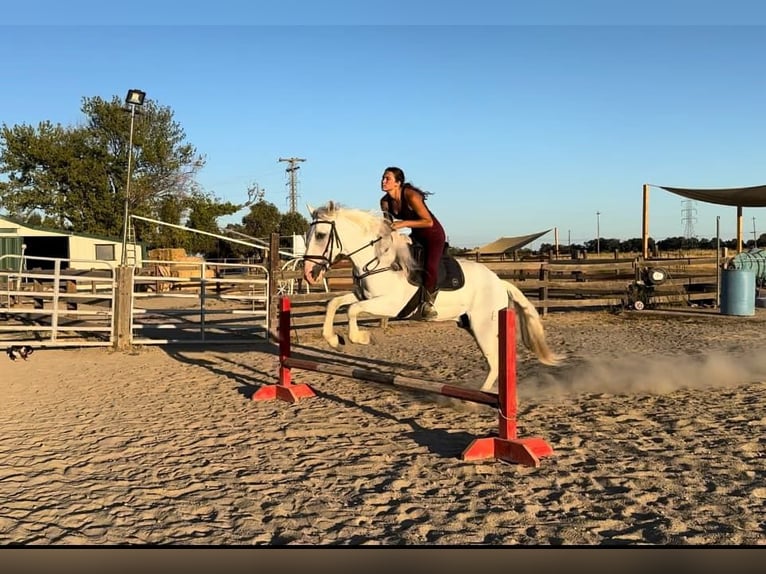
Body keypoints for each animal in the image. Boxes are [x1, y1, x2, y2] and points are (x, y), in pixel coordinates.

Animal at [302, 200, 564, 394]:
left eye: (321, 235)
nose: (309, 273)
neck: (377, 260)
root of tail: (500, 282)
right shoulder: (362, 295)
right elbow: (335, 303)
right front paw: (334, 340)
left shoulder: (390, 305)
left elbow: (352, 310)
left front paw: (361, 338)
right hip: (472, 325)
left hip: (483, 326)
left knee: (495, 362)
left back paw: (474, 400)